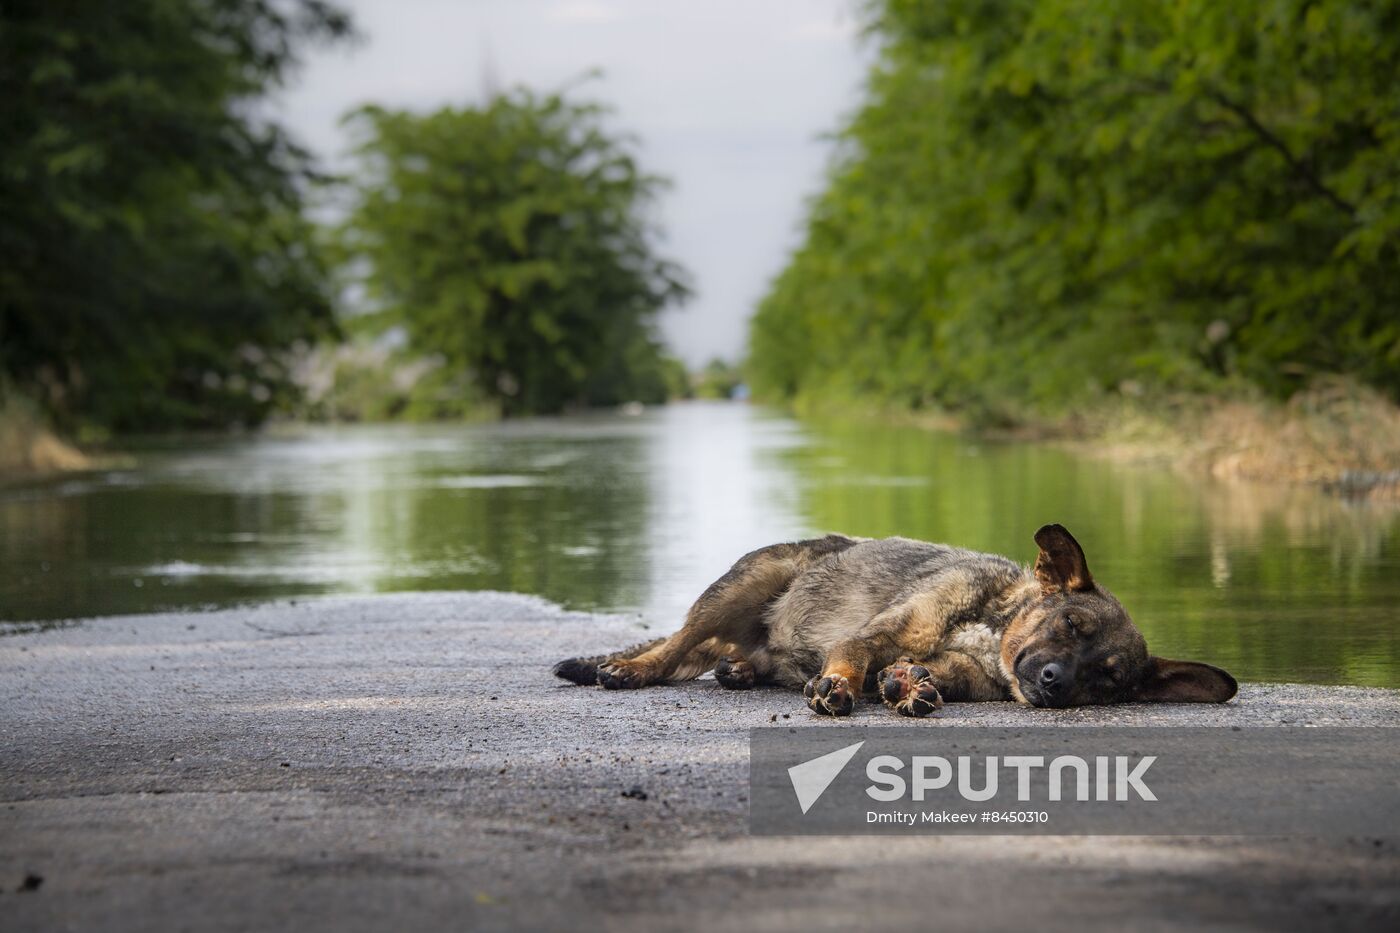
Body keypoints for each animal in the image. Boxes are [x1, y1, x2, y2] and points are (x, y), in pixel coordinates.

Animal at [557, 523, 1237, 711]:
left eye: (1109, 678)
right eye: (1072, 626)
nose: (1055, 684)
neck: (990, 632)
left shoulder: (957, 670)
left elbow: (924, 673)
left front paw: (910, 685)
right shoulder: (881, 633)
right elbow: (854, 658)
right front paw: (840, 685)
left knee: (740, 660)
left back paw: (742, 672)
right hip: (743, 585)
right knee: (675, 646)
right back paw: (628, 669)